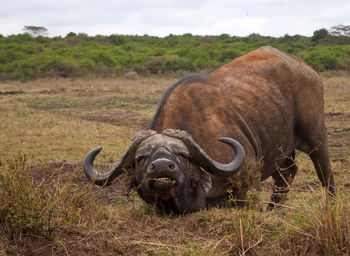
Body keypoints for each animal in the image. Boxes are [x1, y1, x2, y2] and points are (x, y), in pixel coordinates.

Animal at [83, 46, 334, 214]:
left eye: (182, 155)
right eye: (142, 157)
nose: (162, 166)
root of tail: (306, 68)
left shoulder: (249, 182)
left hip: (315, 136)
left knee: (325, 172)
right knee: (288, 173)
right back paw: (273, 210)